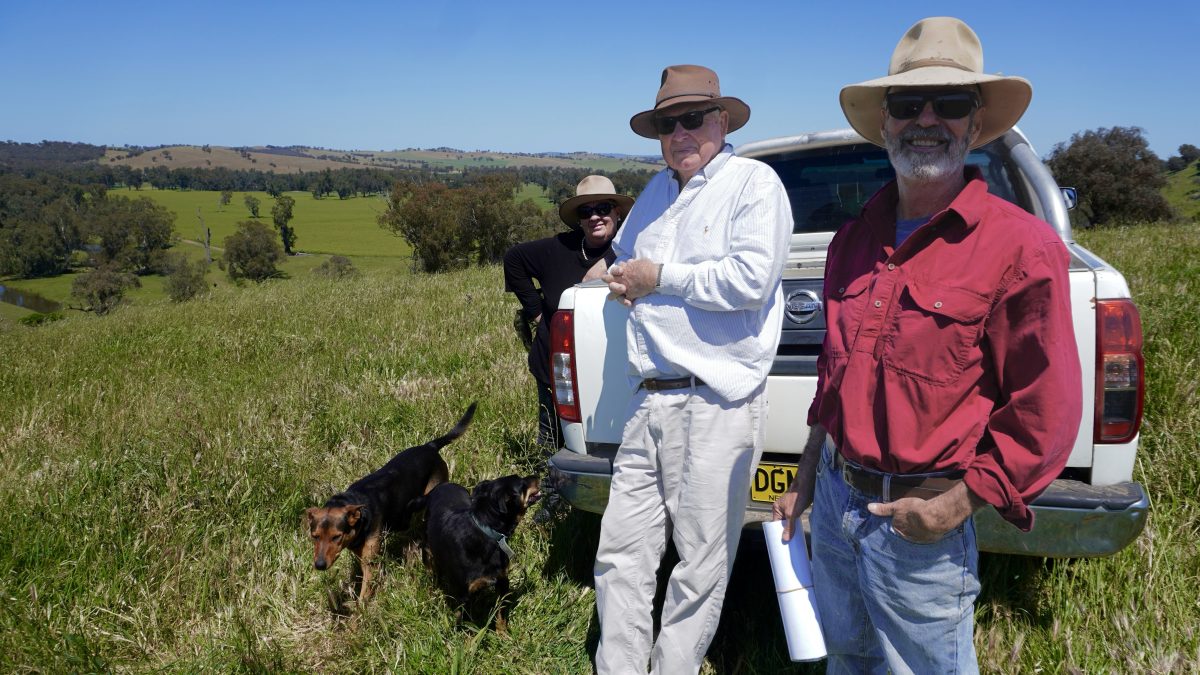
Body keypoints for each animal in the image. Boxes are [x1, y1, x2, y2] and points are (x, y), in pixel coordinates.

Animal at [307, 401, 475, 600]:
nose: (319, 565)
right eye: (315, 536)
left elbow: (364, 595)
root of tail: (430, 446)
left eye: (336, 536)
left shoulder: (371, 564)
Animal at [417, 470, 540, 629]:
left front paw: (503, 633)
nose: (538, 475)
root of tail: (439, 487)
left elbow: (501, 614)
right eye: (522, 483)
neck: (487, 532)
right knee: (433, 575)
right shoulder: (464, 595)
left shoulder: (502, 582)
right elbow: (466, 621)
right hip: (428, 552)